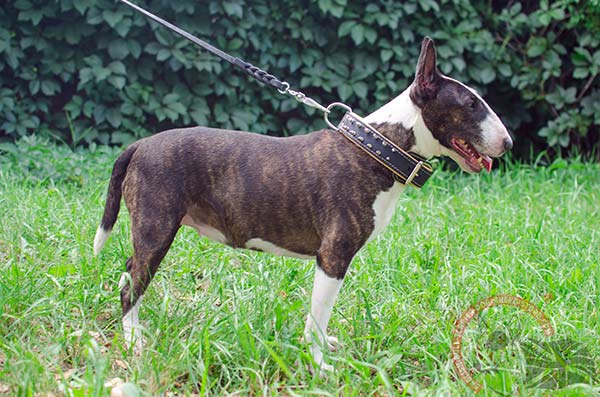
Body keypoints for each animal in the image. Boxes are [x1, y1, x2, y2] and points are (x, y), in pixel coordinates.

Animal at [92, 35, 510, 370]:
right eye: (471, 105)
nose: (508, 143)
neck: (378, 149)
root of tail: (141, 144)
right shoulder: (333, 257)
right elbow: (317, 316)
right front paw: (320, 365)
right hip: (157, 226)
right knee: (132, 284)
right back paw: (134, 341)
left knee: (128, 272)